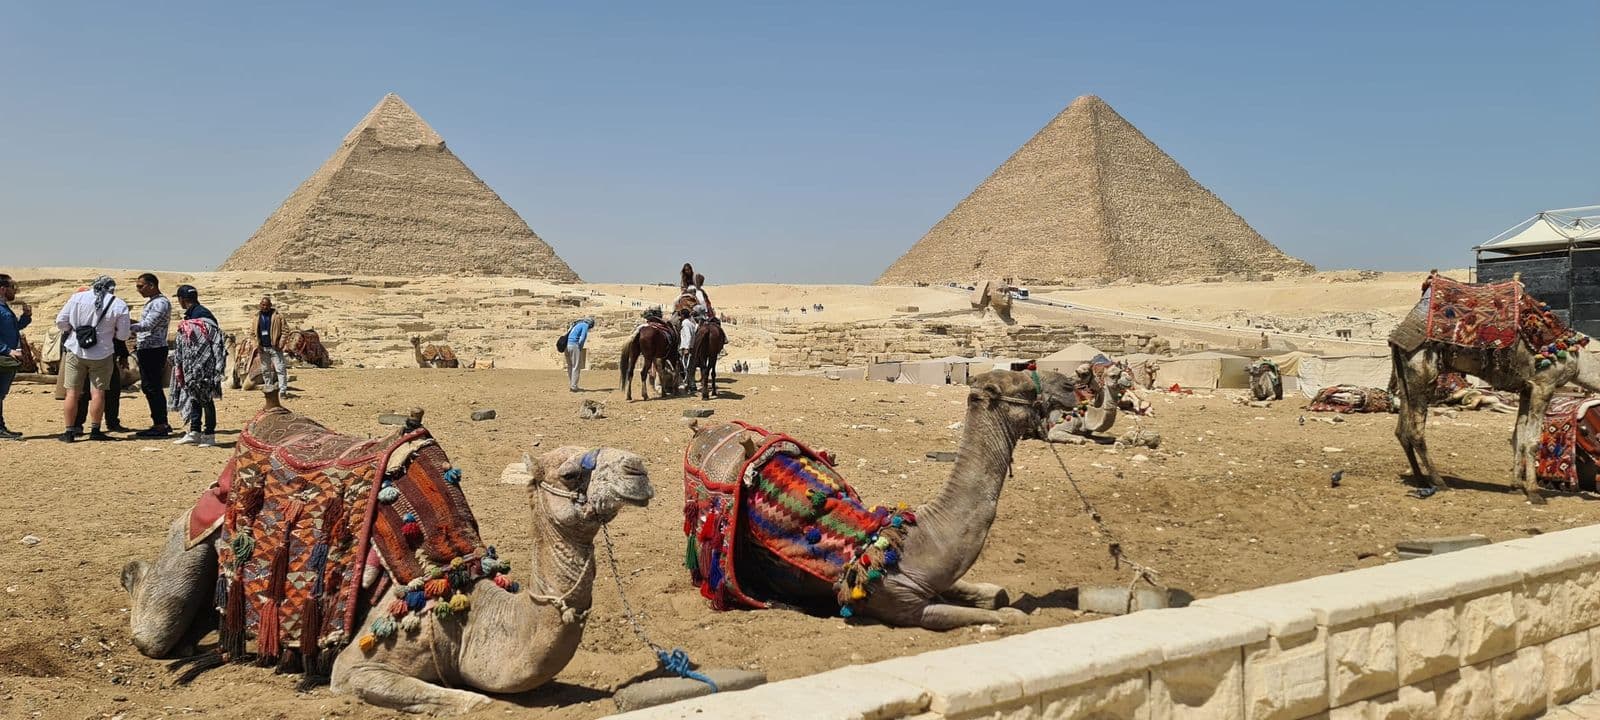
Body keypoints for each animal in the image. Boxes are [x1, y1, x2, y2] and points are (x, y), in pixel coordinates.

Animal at [123, 437, 654, 716]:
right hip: (194, 538)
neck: (468, 610)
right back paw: (135, 574)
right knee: (155, 628)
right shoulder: (357, 663)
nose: (639, 469)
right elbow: (470, 703)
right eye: (570, 474)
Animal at [685, 370, 1085, 630]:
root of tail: (704, 432)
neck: (912, 541)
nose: (1072, 384)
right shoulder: (904, 607)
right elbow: (1003, 614)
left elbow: (995, 594)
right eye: (1024, 384)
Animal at [1391, 276, 1600, 503]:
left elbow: (1518, 437)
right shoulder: (1544, 385)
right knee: (1415, 431)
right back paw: (1439, 482)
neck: (1575, 358)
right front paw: (1534, 493)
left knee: (1402, 430)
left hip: (1405, 373)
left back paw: (1421, 480)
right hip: (1422, 370)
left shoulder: (1526, 389)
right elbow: (1532, 441)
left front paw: (1516, 486)